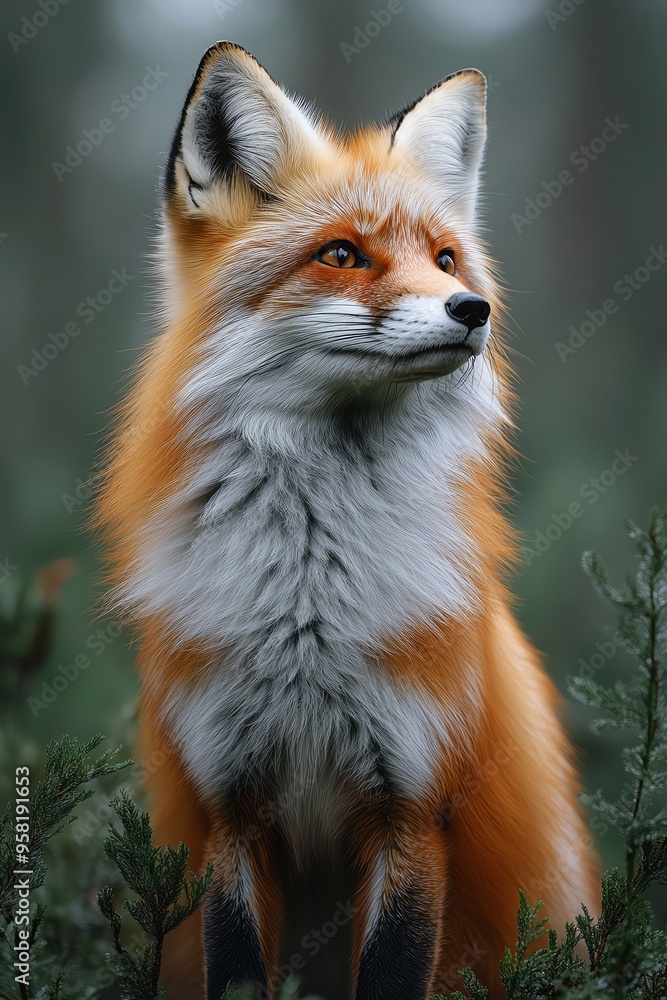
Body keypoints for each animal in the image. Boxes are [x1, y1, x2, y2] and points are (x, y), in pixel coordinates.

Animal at [97, 41, 599, 1000]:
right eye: (341, 254)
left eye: (445, 259)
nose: (471, 311)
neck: (309, 611)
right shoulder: (233, 808)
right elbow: (237, 970)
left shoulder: (412, 806)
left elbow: (393, 966)